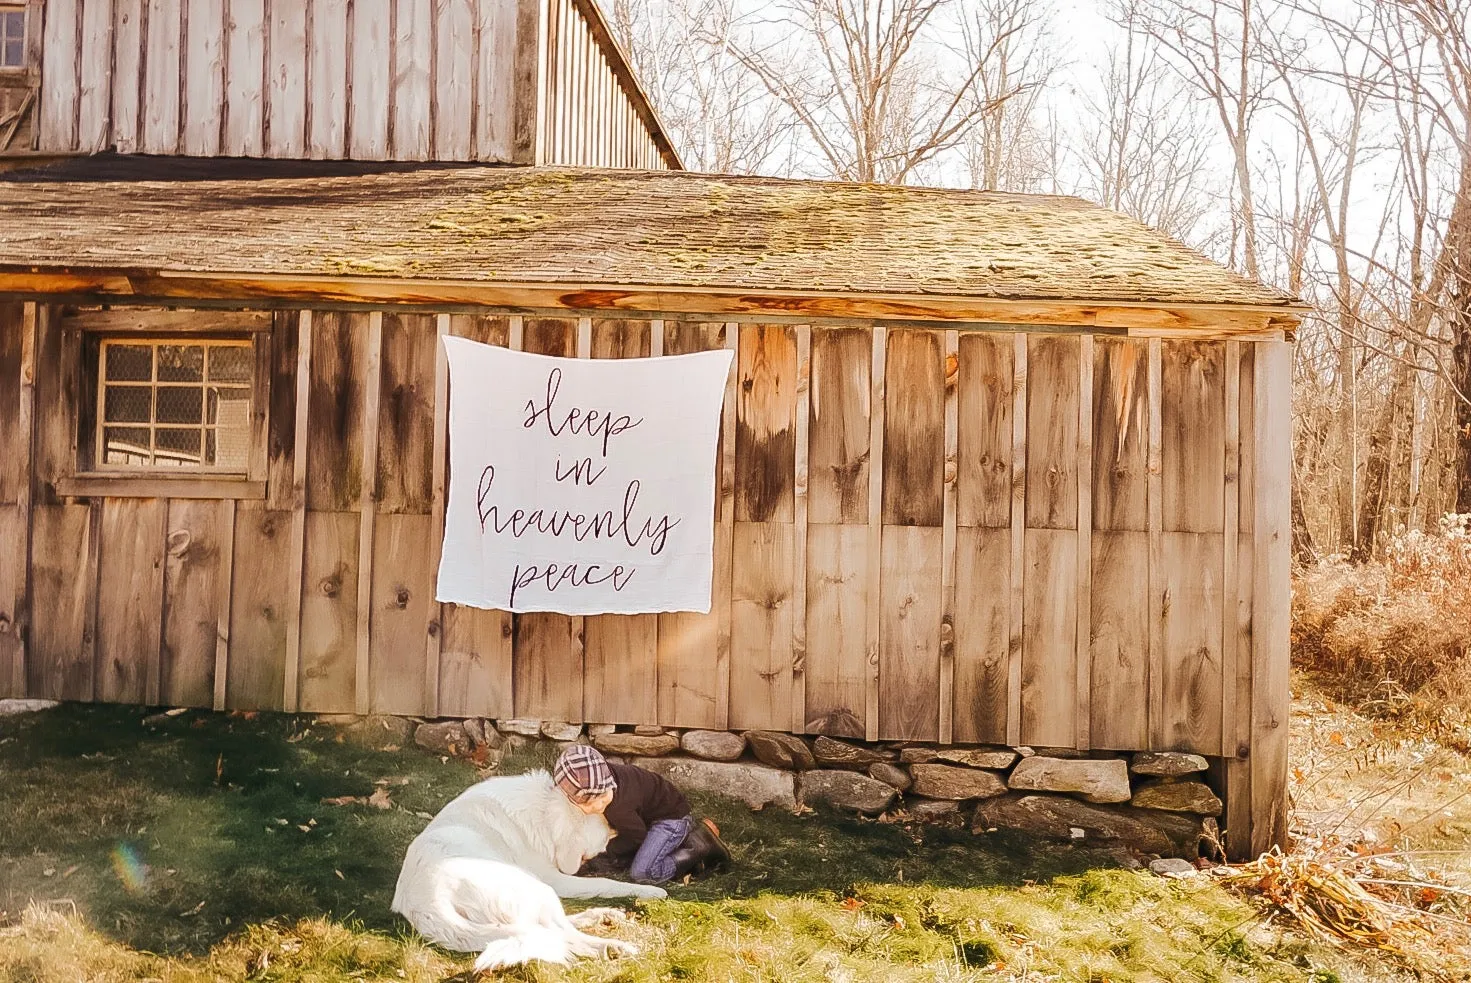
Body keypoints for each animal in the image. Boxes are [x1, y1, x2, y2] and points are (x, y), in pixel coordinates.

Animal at [391, 771, 667, 971]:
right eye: (600, 849)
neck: (545, 812)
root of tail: (426, 905)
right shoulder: (556, 879)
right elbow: (605, 882)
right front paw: (650, 891)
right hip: (536, 887)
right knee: (565, 936)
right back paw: (613, 947)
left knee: (551, 928)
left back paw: (602, 916)